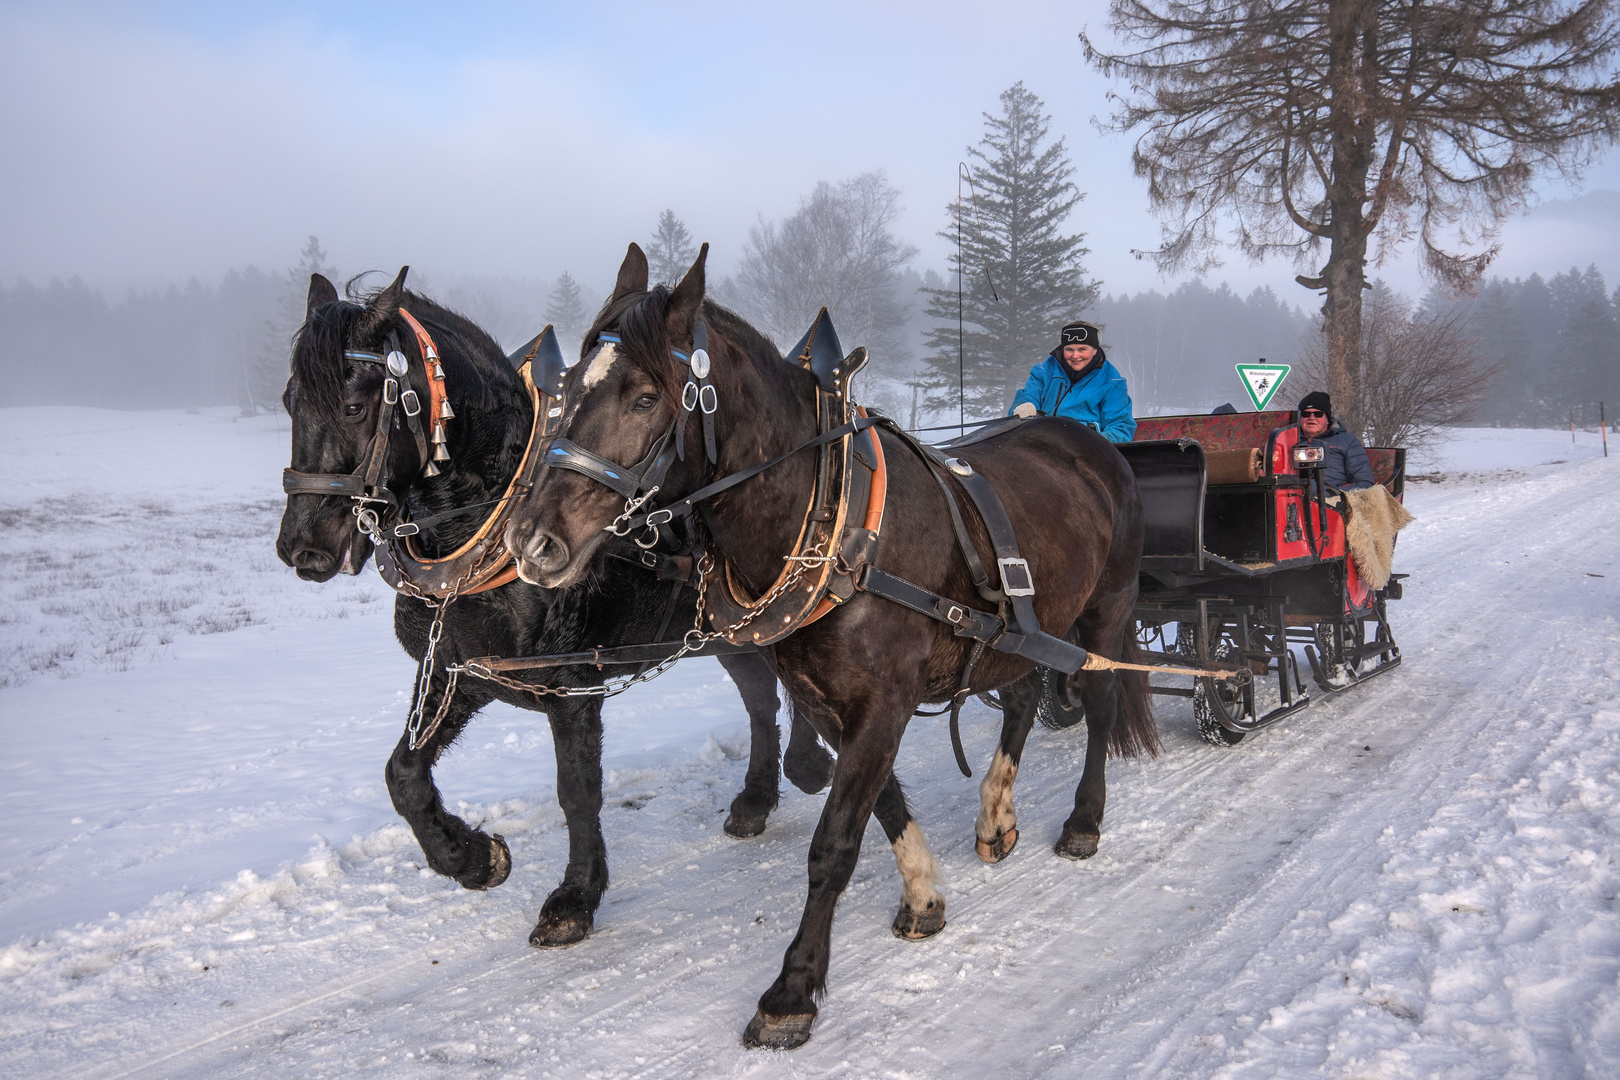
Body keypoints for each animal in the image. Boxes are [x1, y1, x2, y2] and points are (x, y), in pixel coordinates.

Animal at [275, 270, 835, 945]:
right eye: (288, 401)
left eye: (356, 406)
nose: (302, 546)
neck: (488, 521)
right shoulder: (458, 670)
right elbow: (403, 776)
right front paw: (473, 858)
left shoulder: (571, 683)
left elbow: (578, 790)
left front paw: (575, 896)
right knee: (758, 695)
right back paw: (757, 796)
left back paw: (806, 763)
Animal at [511, 244, 1159, 1049]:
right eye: (566, 389)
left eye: (643, 398)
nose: (534, 543)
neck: (828, 515)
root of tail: (1085, 438)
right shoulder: (825, 702)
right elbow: (881, 804)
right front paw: (923, 893)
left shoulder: (883, 702)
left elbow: (834, 844)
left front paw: (792, 990)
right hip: (1020, 631)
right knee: (1020, 695)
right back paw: (997, 815)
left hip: (1106, 613)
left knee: (1100, 705)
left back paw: (1083, 820)